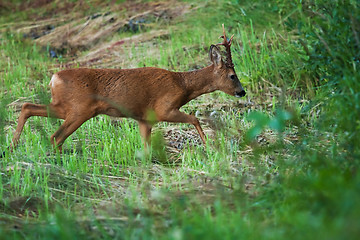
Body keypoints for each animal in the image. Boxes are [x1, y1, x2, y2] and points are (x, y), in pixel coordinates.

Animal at [2, 24, 245, 156]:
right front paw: (210, 146)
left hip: (64, 107)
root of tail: (54, 78)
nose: (242, 92)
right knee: (55, 136)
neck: (183, 85)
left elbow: (146, 147)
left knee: (28, 107)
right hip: (79, 109)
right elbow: (195, 118)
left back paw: (11, 148)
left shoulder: (144, 119)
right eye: (233, 76)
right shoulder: (164, 108)